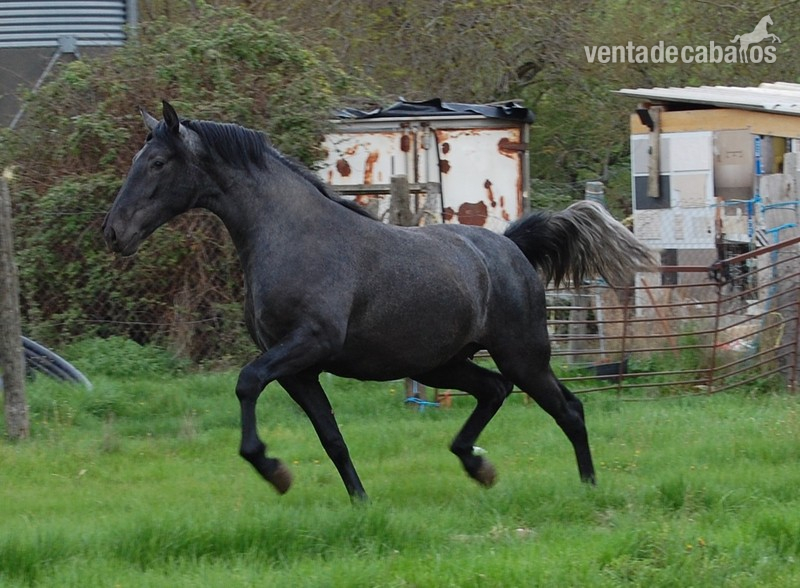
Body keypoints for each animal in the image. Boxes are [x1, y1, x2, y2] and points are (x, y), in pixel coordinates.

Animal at [103, 101, 655, 501]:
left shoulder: (308, 345)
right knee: (494, 392)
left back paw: (588, 487)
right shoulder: (300, 370)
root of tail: (511, 248)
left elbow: (247, 382)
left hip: (523, 356)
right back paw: (478, 465)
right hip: (441, 365)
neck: (291, 235)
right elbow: (330, 437)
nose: (114, 233)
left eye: (157, 163)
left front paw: (273, 469)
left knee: (569, 409)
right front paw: (358, 501)